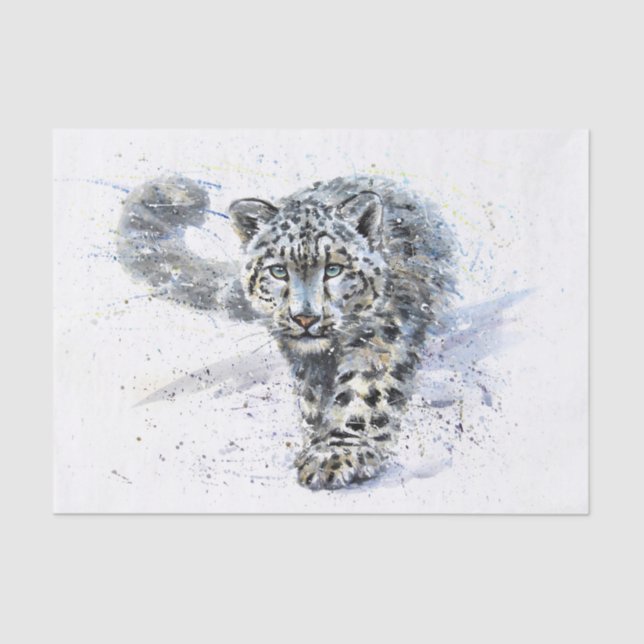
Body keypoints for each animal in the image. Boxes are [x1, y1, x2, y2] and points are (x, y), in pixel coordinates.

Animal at [118, 174, 456, 490]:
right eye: (278, 270)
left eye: (334, 269)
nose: (304, 317)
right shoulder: (306, 362)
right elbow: (314, 398)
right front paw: (319, 440)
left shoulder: (379, 336)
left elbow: (363, 392)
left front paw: (335, 453)